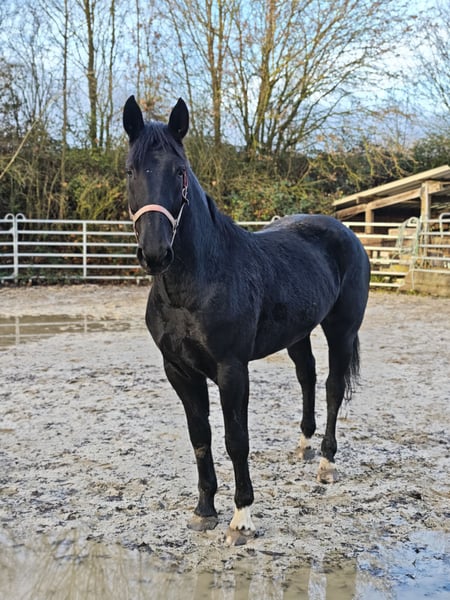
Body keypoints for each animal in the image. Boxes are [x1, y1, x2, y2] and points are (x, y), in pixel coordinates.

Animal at [123, 95, 371, 541]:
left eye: (179, 172)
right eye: (130, 170)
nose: (155, 253)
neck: (196, 283)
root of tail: (346, 232)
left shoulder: (231, 369)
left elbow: (236, 439)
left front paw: (241, 517)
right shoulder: (179, 370)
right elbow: (200, 437)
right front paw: (204, 509)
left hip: (342, 330)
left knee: (332, 388)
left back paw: (327, 463)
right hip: (298, 334)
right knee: (306, 377)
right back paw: (304, 446)